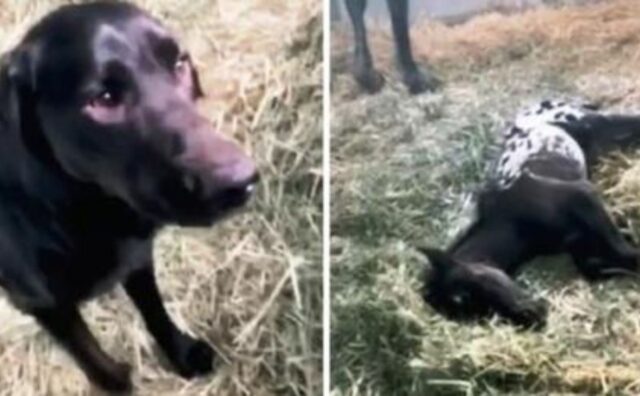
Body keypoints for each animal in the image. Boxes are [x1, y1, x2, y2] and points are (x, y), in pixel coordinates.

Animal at [0, 2, 258, 392]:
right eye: (104, 99)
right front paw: (117, 384)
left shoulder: (136, 256)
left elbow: (155, 310)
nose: (240, 182)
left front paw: (181, 353)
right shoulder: (44, 305)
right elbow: (92, 358)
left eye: (179, 64)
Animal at [422, 100, 640, 330]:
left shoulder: (582, 195)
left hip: (589, 121)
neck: (512, 222)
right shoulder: (576, 242)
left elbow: (621, 249)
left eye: (463, 296)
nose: (533, 319)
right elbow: (595, 264)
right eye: (475, 319)